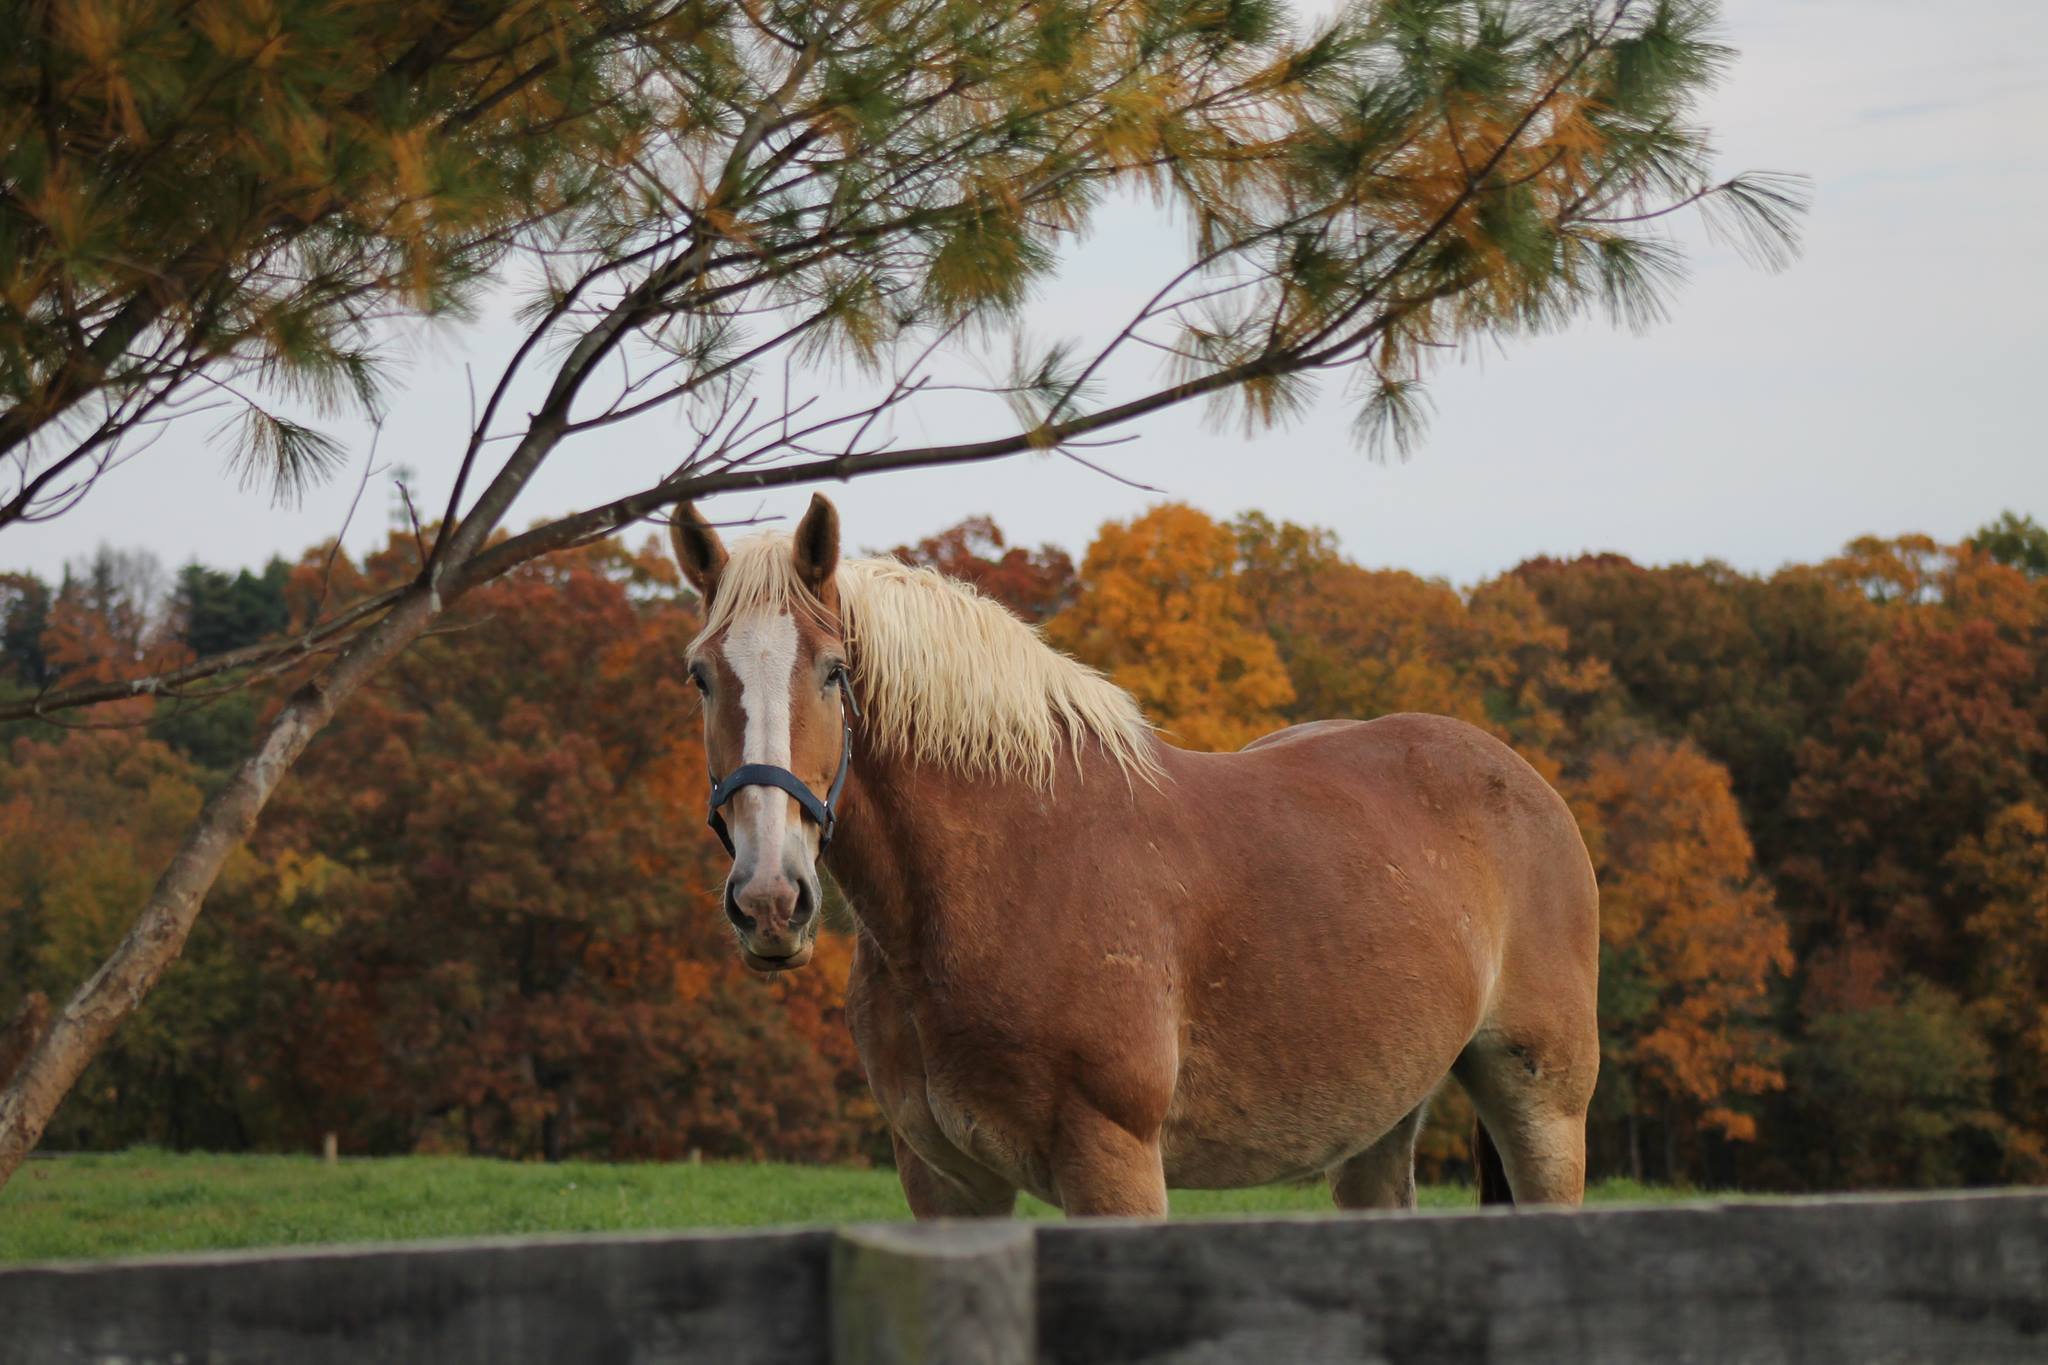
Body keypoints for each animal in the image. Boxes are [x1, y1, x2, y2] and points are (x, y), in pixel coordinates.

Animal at [671, 493, 1597, 1219]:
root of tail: (1522, 781)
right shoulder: (945, 1182)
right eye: (700, 676)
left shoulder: (1113, 1164)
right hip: (1377, 1121)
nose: (769, 900)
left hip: (1543, 1111)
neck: (1012, 865)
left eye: (833, 672)